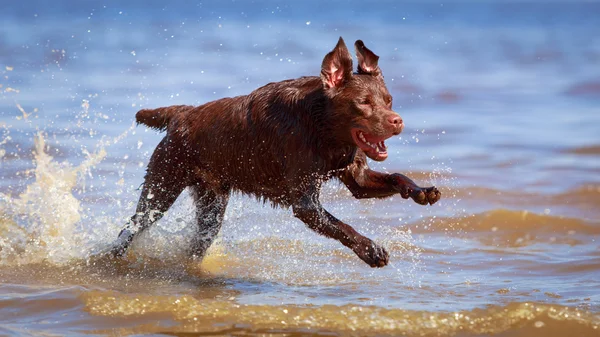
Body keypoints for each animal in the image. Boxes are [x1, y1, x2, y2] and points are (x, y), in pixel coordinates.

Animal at [112, 37, 440, 268]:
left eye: (389, 99)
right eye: (364, 103)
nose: (397, 121)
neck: (322, 126)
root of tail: (180, 114)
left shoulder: (356, 177)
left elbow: (395, 176)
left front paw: (421, 191)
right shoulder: (306, 203)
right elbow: (343, 227)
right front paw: (370, 249)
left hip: (211, 203)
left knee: (198, 241)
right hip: (162, 186)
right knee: (129, 229)